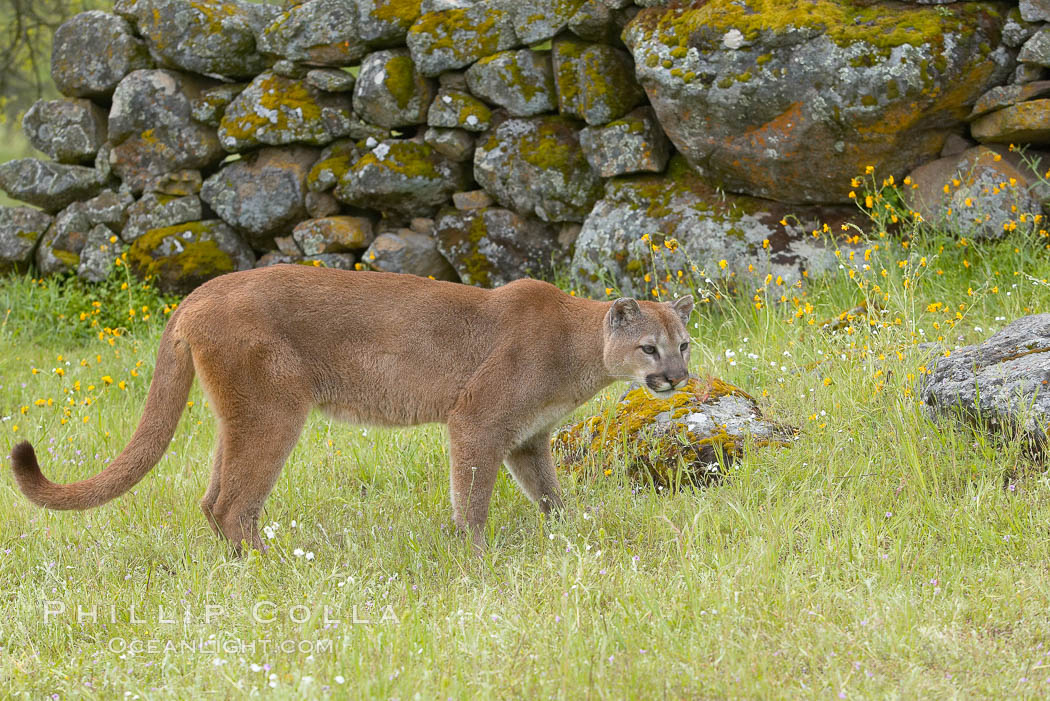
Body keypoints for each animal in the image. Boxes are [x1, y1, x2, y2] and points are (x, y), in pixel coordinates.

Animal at [12, 265, 697, 549]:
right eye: (649, 347)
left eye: (684, 344)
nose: (677, 377)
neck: (578, 349)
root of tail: (198, 293)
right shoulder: (477, 422)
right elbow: (472, 498)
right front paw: (476, 557)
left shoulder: (527, 440)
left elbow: (551, 495)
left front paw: (571, 533)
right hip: (274, 410)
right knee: (233, 505)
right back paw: (276, 570)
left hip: (240, 417)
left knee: (212, 500)